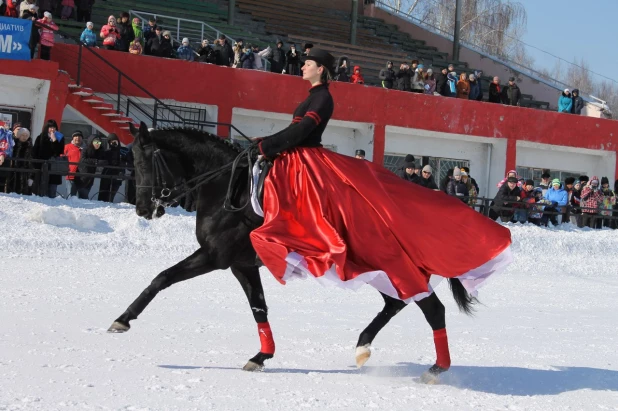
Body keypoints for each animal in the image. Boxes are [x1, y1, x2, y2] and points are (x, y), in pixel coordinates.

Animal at [108, 123, 474, 384]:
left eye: (144, 162)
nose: (143, 209)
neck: (228, 188)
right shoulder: (242, 264)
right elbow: (258, 308)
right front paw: (261, 356)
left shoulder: (215, 257)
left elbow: (162, 277)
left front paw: (122, 320)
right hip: (382, 272)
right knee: (396, 304)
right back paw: (362, 347)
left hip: (393, 269)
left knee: (433, 310)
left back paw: (435, 369)